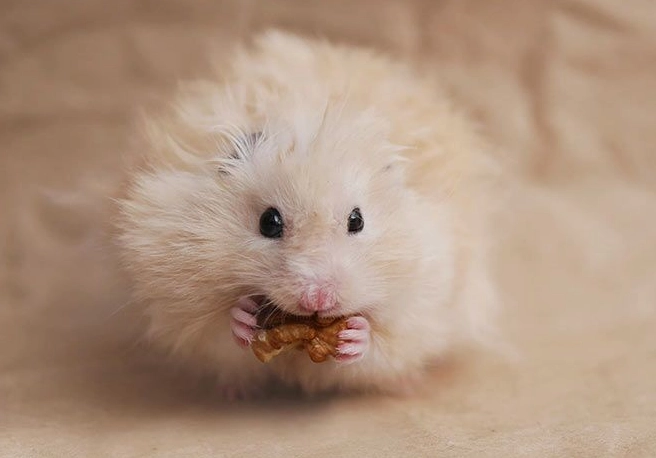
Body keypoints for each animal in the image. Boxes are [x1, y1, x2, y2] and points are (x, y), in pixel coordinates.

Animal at [112, 30, 501, 399]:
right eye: (269, 222)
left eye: (357, 220)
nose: (319, 299)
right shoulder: (177, 293)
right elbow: (218, 329)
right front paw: (242, 318)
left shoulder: (425, 299)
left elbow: (382, 341)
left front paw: (355, 335)